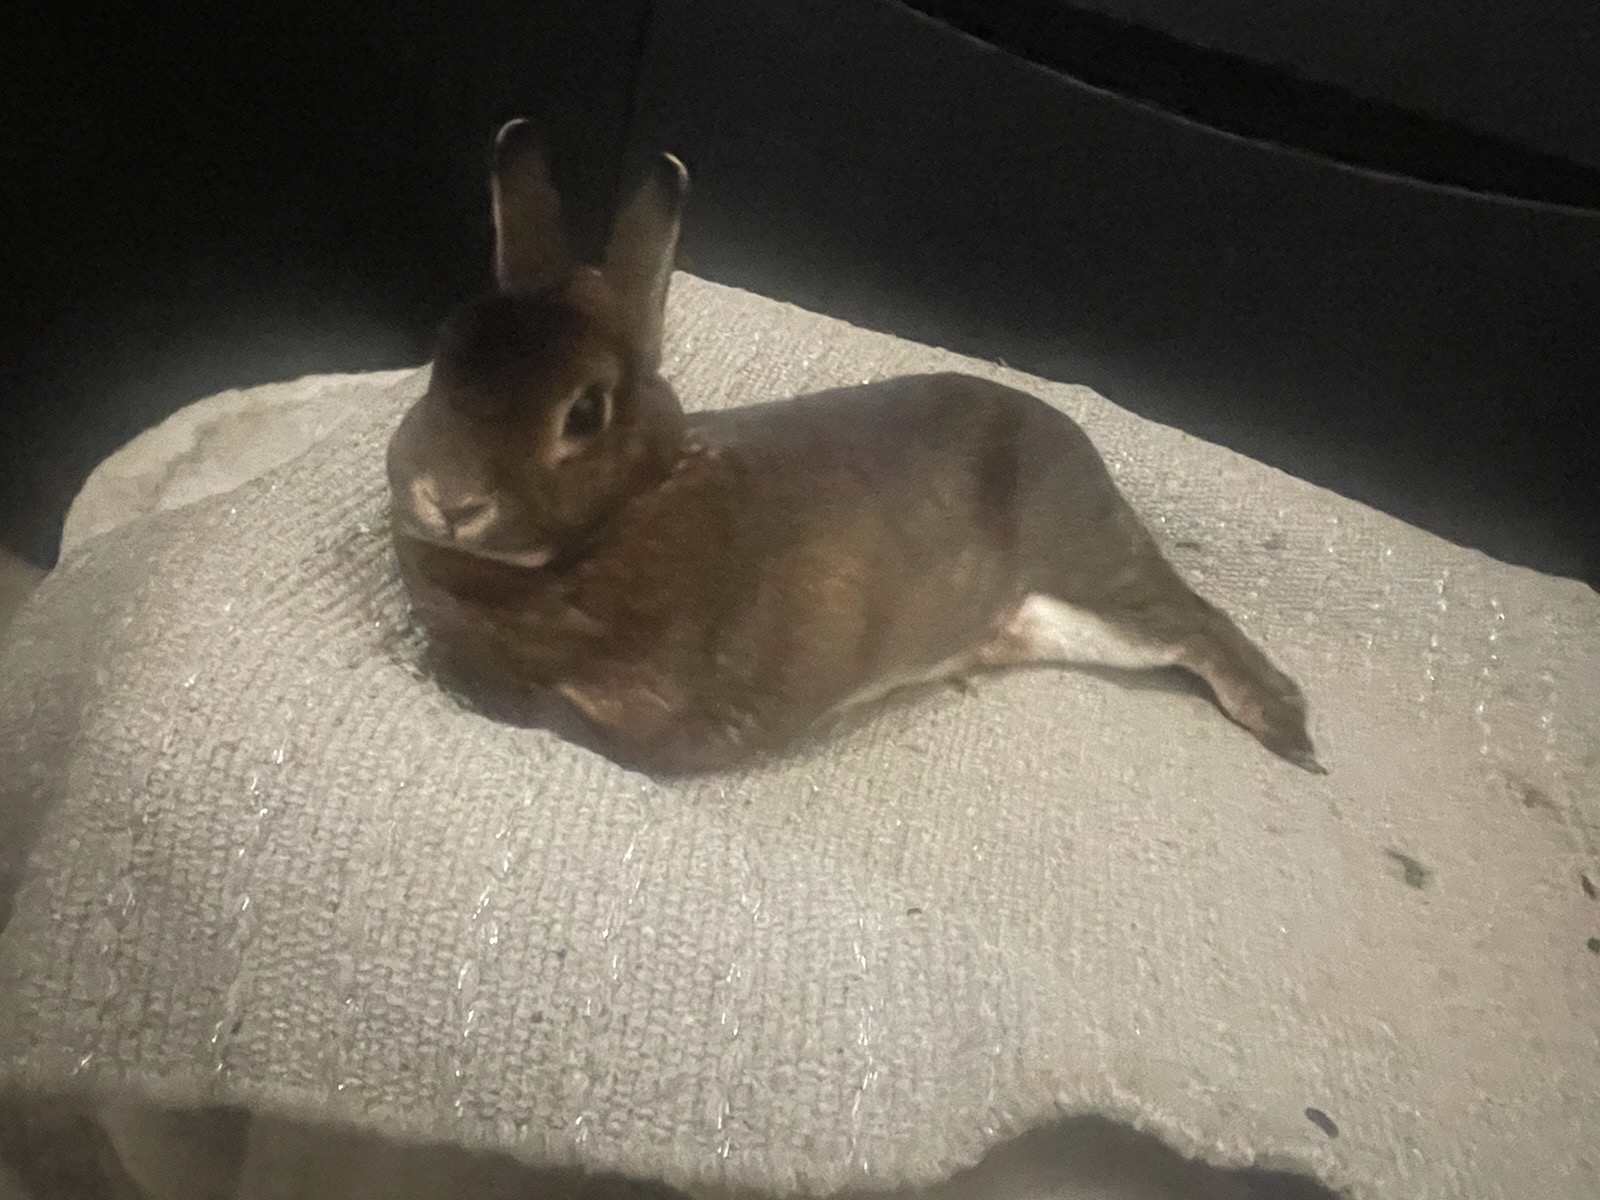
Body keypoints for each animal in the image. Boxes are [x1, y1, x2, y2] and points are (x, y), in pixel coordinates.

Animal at [385, 119, 1324, 777]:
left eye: (584, 412)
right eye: (445, 351)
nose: (449, 498)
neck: (634, 504)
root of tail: (1073, 438)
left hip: (1095, 577)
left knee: (1197, 624)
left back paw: (1287, 730)